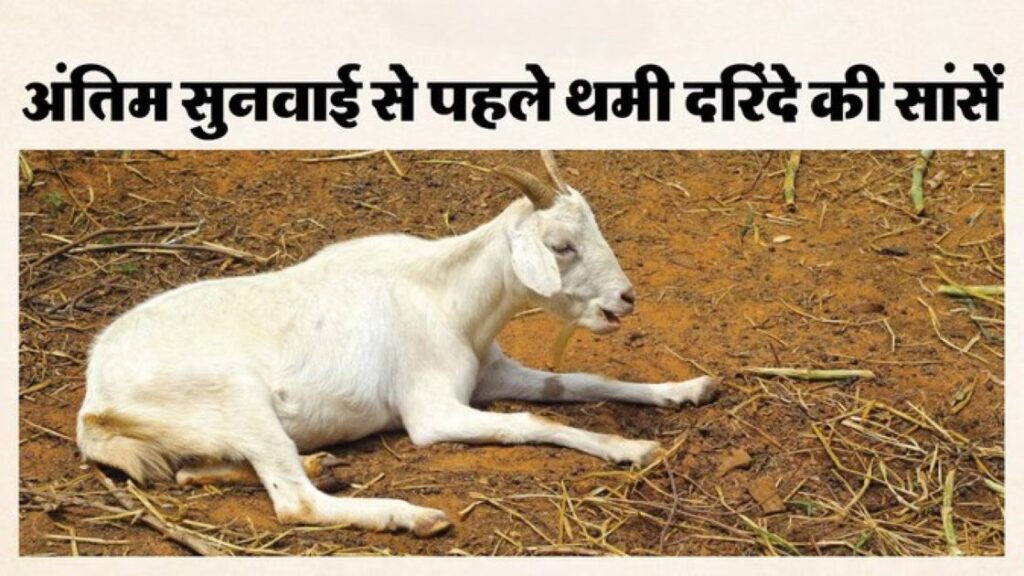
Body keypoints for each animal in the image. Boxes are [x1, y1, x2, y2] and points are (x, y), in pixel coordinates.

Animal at [76, 151, 718, 537]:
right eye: (560, 246)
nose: (625, 299)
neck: (446, 298)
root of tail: (94, 402)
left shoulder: (491, 372)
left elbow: (577, 382)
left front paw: (687, 389)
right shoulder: (430, 411)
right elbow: (528, 423)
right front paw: (631, 448)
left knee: (194, 473)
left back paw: (322, 463)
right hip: (234, 396)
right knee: (294, 502)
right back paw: (412, 515)